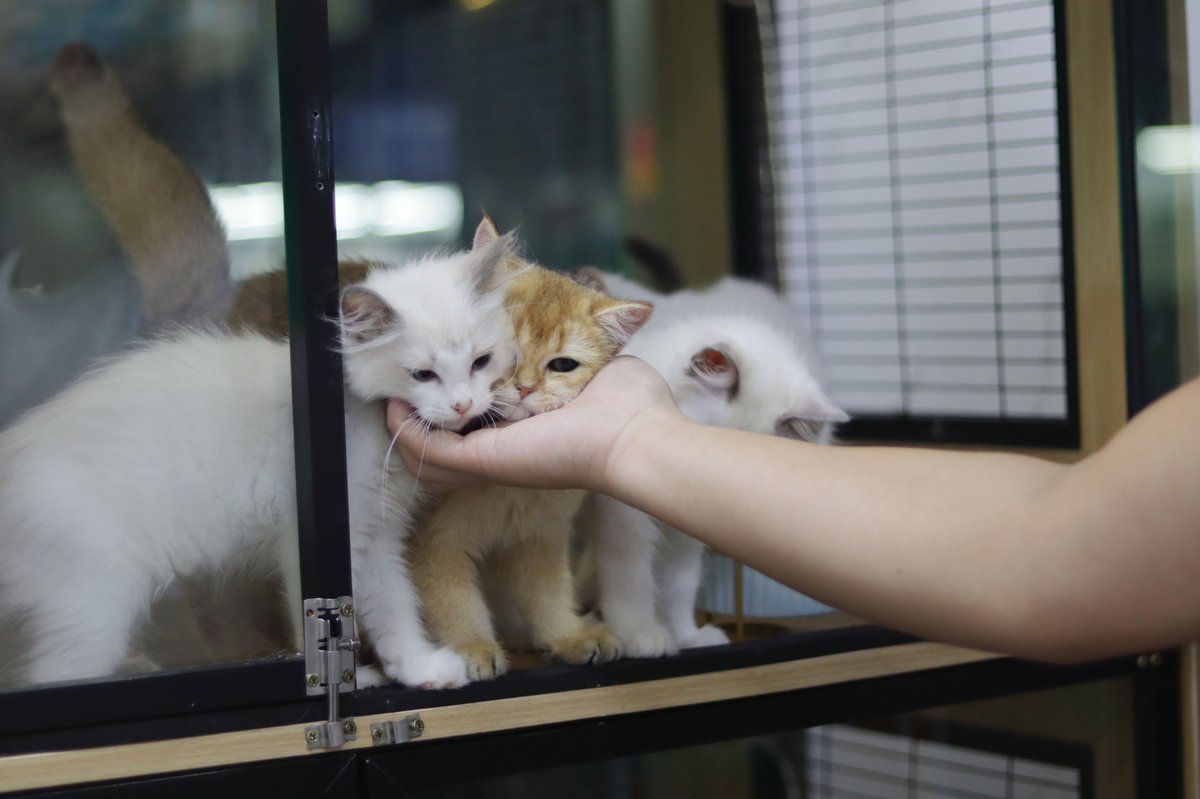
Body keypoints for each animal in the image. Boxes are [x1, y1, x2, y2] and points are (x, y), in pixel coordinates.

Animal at [0, 221, 518, 686]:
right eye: (423, 375)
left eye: (480, 362)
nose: (462, 405)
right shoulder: (319, 539)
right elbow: (324, 619)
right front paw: (343, 678)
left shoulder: (376, 538)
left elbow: (394, 607)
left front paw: (418, 669)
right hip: (94, 602)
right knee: (50, 676)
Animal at [408, 218, 652, 676]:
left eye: (563, 365)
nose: (524, 388)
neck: (511, 491)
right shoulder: (434, 543)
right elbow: (452, 600)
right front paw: (470, 647)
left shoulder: (541, 538)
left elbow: (549, 594)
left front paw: (568, 636)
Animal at [573, 271, 844, 657]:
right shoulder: (623, 523)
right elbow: (632, 580)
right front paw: (641, 635)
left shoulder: (683, 535)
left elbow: (678, 588)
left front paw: (686, 636)